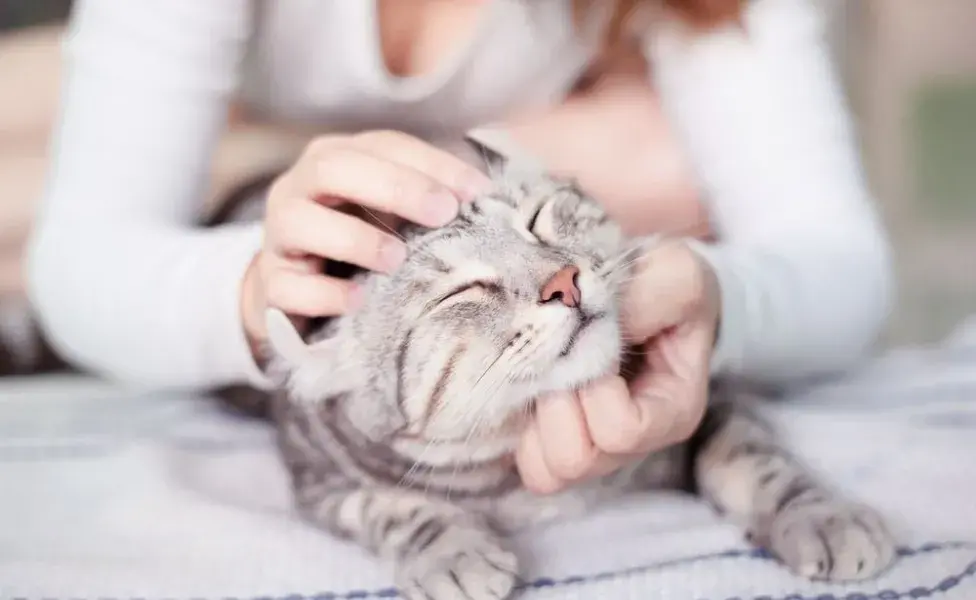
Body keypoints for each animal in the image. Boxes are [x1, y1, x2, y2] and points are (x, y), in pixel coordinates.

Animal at [217, 136, 896, 600]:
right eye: (461, 292)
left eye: (539, 219)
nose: (562, 282)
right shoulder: (321, 484)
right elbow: (392, 508)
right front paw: (454, 550)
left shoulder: (715, 399)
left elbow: (756, 457)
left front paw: (823, 515)